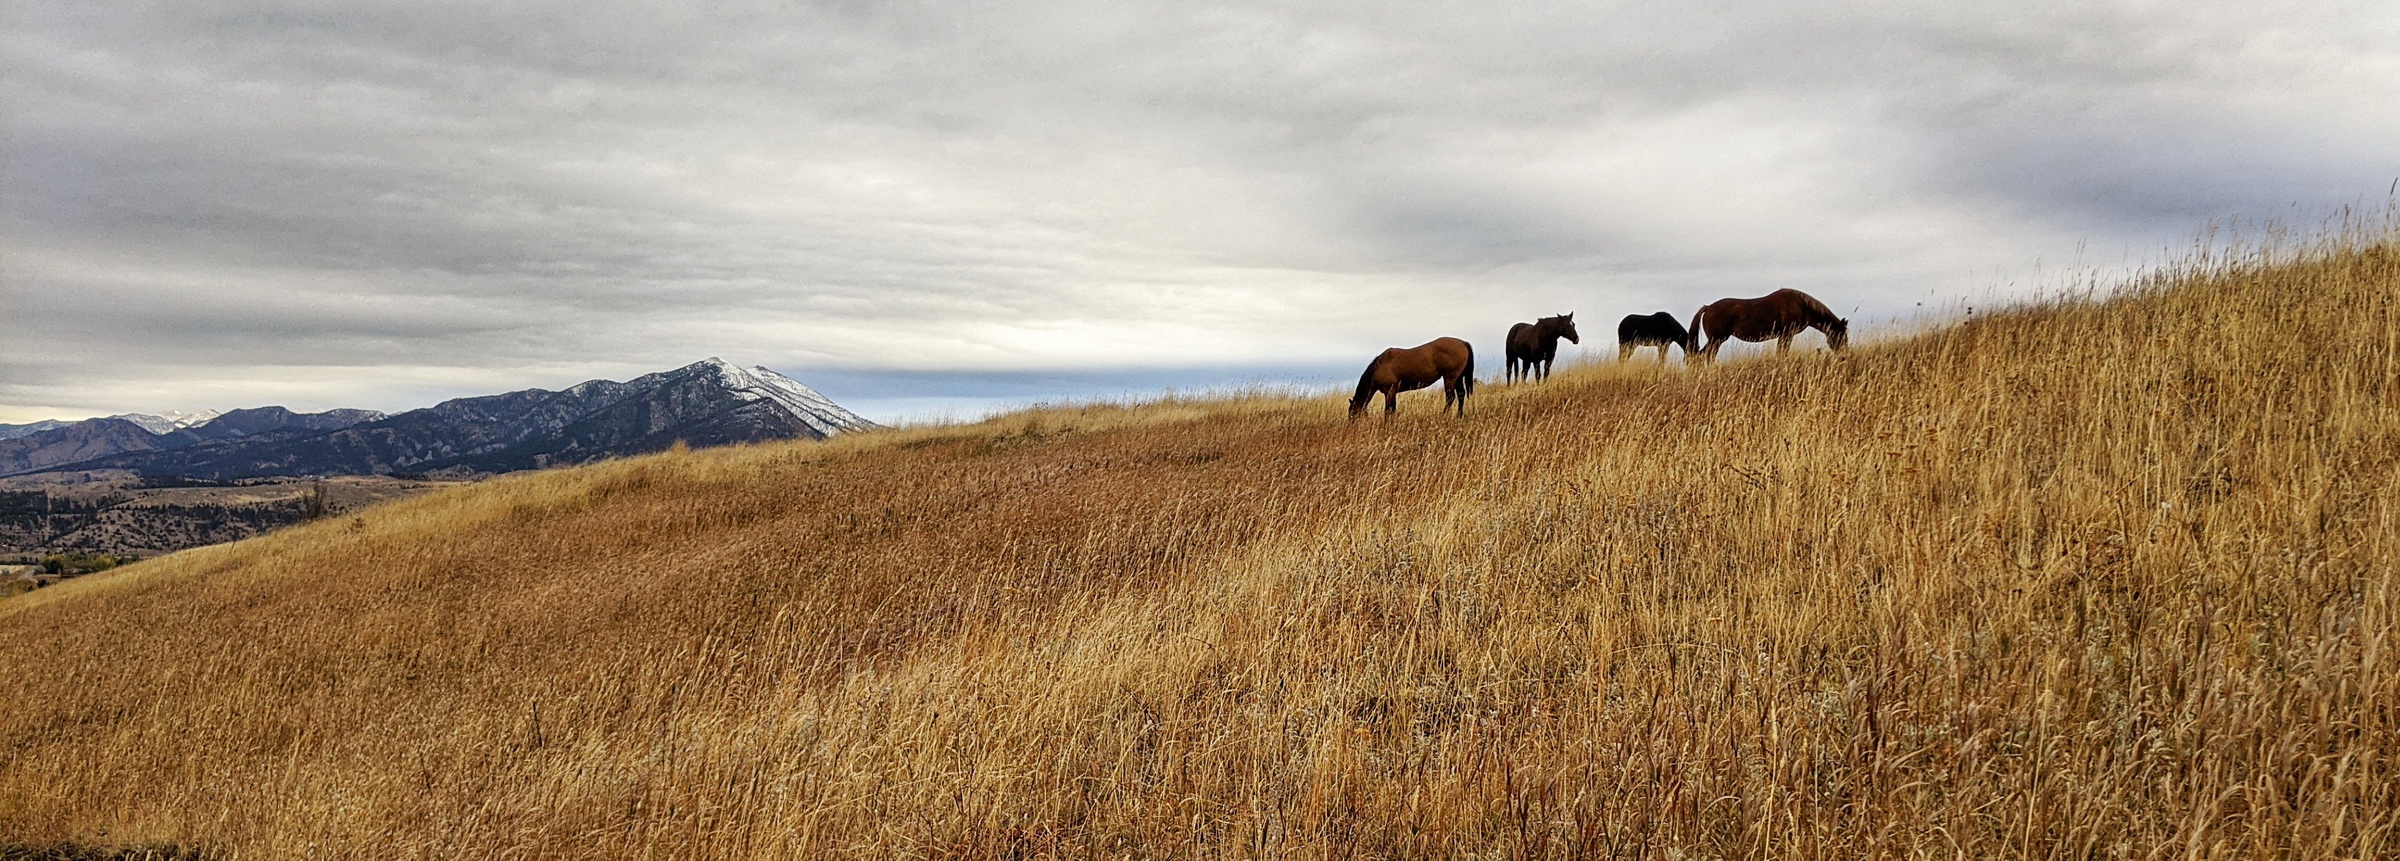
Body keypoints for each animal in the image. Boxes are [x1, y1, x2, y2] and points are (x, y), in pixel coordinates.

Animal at [1690, 288, 1849, 363]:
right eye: (1841, 337)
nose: (1844, 357)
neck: (1802, 305)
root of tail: (1708, 307)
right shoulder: (1786, 334)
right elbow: (1781, 352)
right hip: (1717, 339)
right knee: (1708, 356)